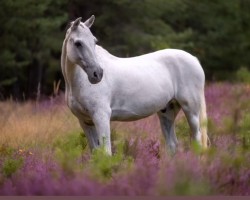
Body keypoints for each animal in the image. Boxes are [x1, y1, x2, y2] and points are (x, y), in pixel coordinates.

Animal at [61, 16, 209, 156]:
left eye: (94, 41)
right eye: (78, 43)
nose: (97, 74)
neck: (79, 82)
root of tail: (194, 59)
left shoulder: (101, 116)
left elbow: (106, 153)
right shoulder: (85, 121)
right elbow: (96, 154)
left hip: (191, 110)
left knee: (197, 140)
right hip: (167, 111)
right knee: (172, 144)